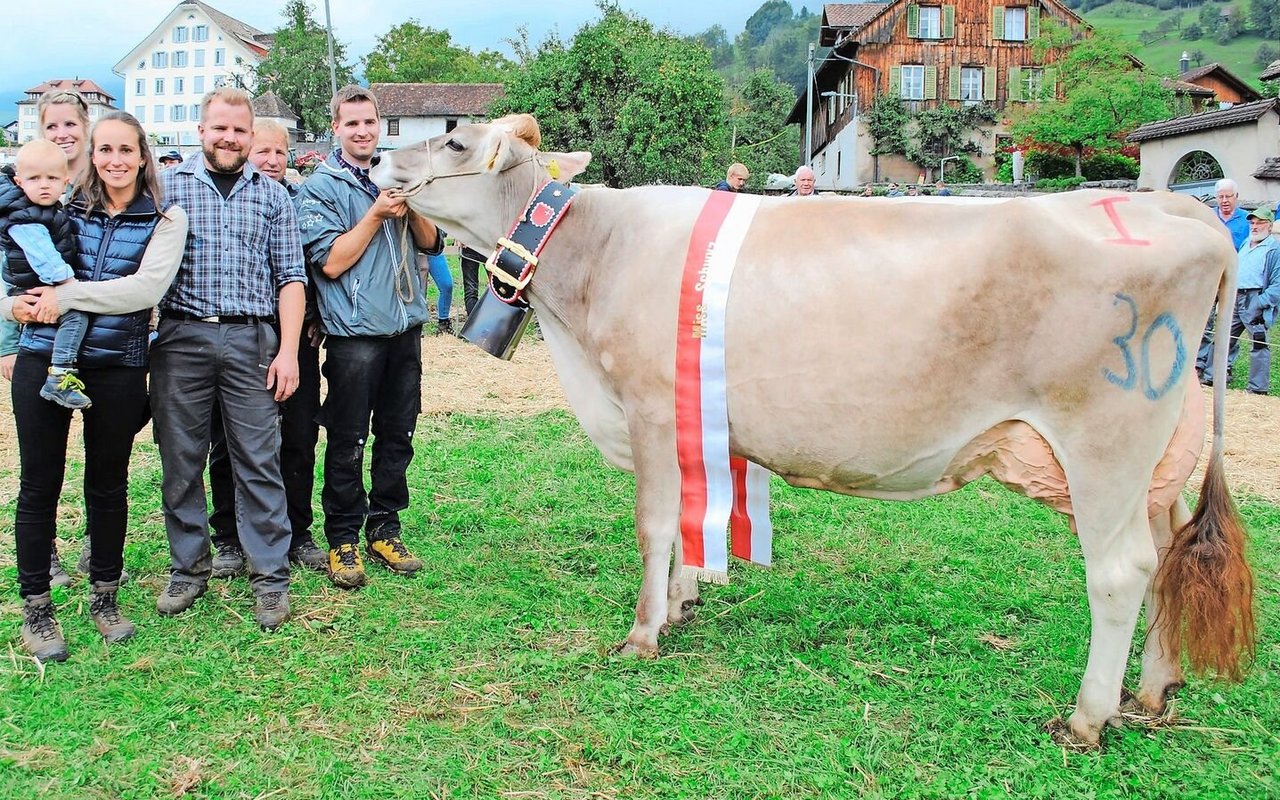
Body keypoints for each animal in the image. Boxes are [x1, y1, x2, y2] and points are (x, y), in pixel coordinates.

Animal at [368, 115, 1249, 747]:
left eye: (453, 141)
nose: (375, 162)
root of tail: (1172, 203)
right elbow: (690, 517)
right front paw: (685, 601)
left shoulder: (650, 405)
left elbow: (655, 522)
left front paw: (644, 632)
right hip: (1156, 459)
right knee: (1170, 550)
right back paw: (1154, 689)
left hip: (1105, 440)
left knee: (1121, 569)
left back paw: (1088, 716)